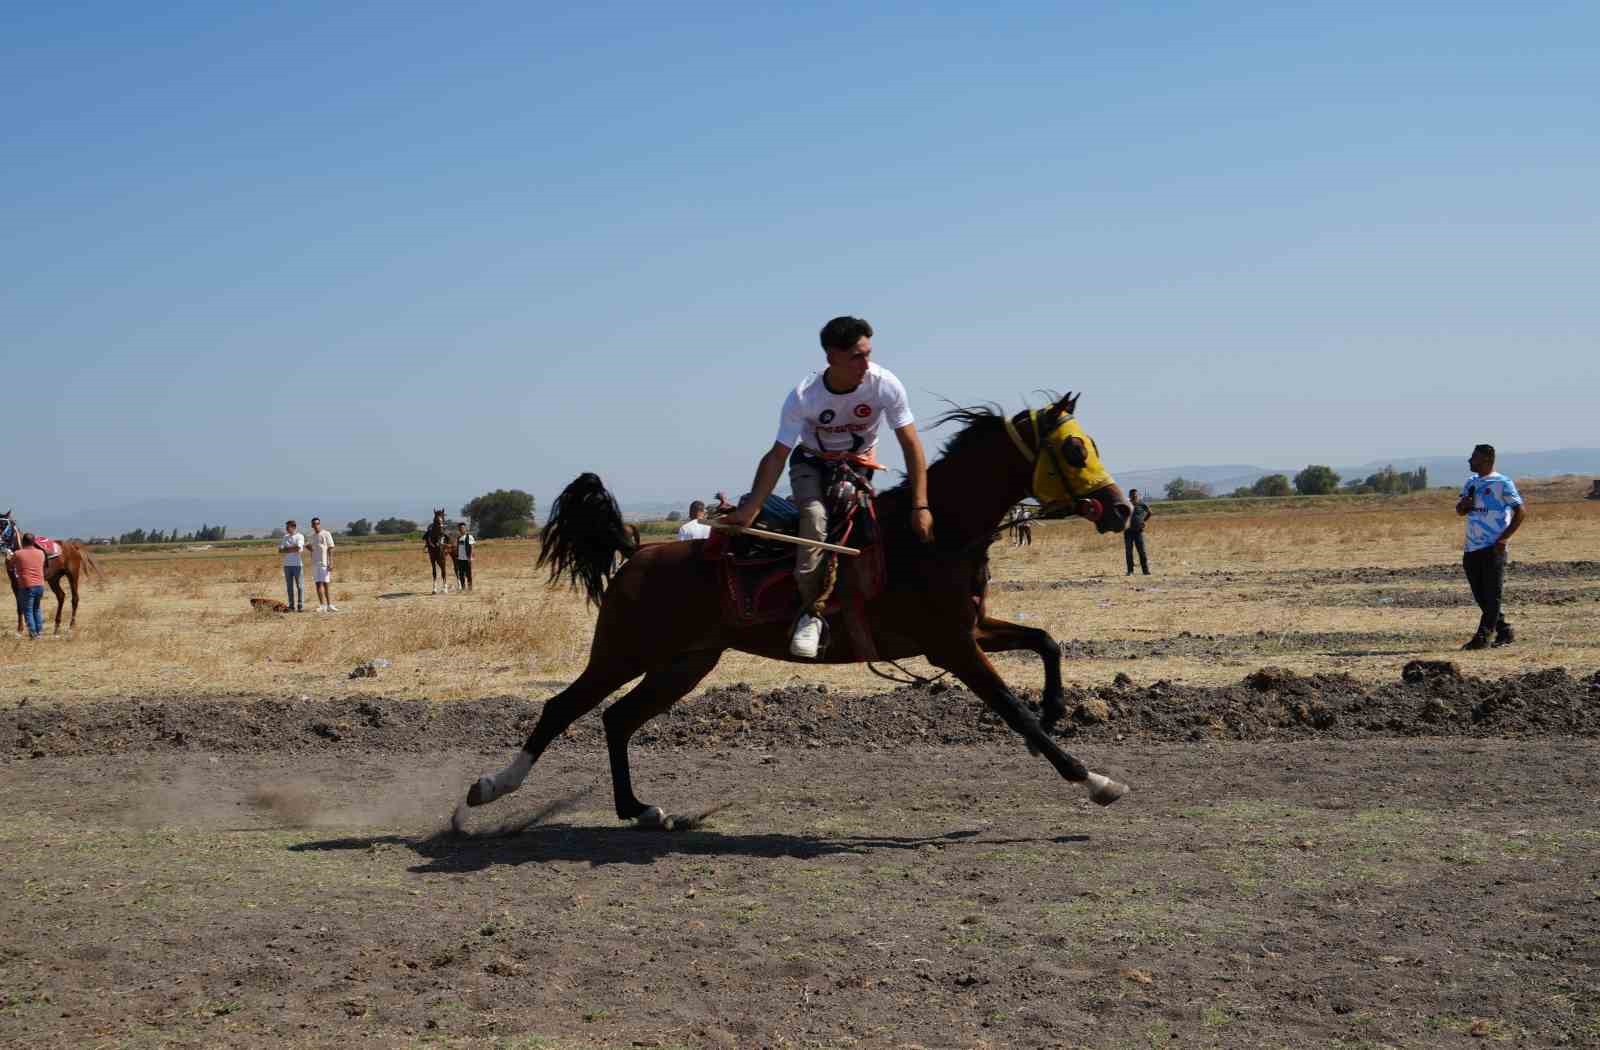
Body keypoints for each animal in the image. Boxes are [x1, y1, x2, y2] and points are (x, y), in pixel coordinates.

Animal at [467, 393, 1139, 825]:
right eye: (1074, 450)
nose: (1121, 508)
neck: (932, 534)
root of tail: (638, 551)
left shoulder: (971, 629)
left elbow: (1046, 641)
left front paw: (1057, 710)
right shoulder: (952, 645)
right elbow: (1012, 709)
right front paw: (1093, 779)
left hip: (684, 663)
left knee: (616, 719)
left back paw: (638, 809)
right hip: (623, 653)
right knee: (562, 708)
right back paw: (491, 788)